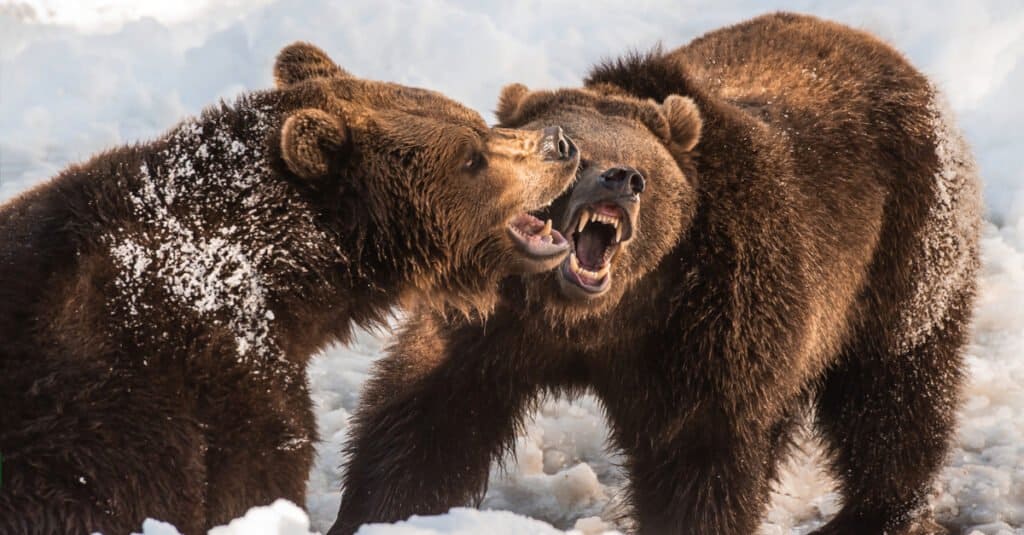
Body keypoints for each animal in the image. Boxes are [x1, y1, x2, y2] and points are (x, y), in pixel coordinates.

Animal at [331, 12, 978, 532]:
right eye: (569, 148)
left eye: (641, 165)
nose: (621, 179)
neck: (590, 316)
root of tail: (885, 51)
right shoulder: (492, 320)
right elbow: (427, 417)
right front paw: (378, 512)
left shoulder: (710, 319)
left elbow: (698, 455)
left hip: (905, 243)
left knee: (896, 387)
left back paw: (876, 513)